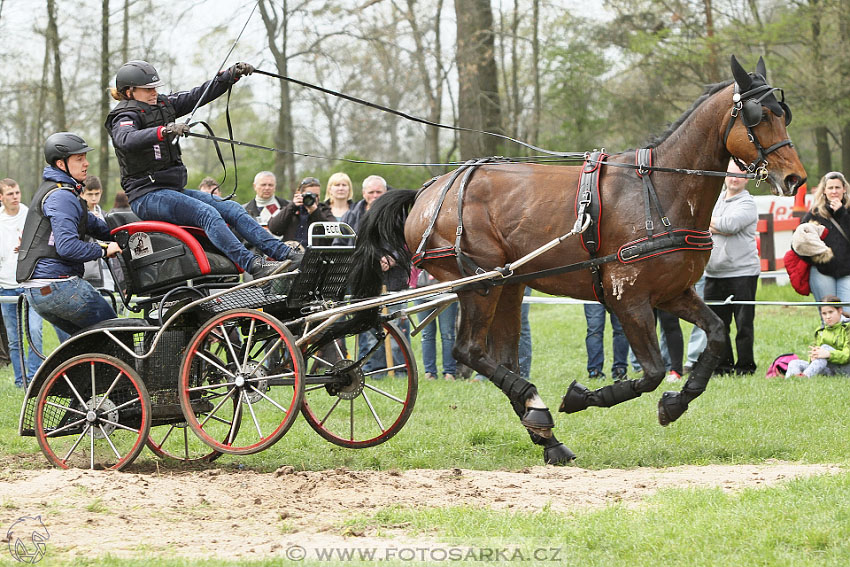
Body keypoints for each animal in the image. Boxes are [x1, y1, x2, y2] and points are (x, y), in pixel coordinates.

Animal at [342, 56, 800, 466]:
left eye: (784, 115)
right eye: (759, 116)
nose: (795, 178)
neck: (659, 191)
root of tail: (429, 190)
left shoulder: (674, 293)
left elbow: (718, 334)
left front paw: (677, 401)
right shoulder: (628, 299)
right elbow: (651, 371)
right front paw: (582, 397)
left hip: (509, 285)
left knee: (501, 359)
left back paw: (544, 433)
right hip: (479, 284)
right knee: (468, 351)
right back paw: (536, 406)